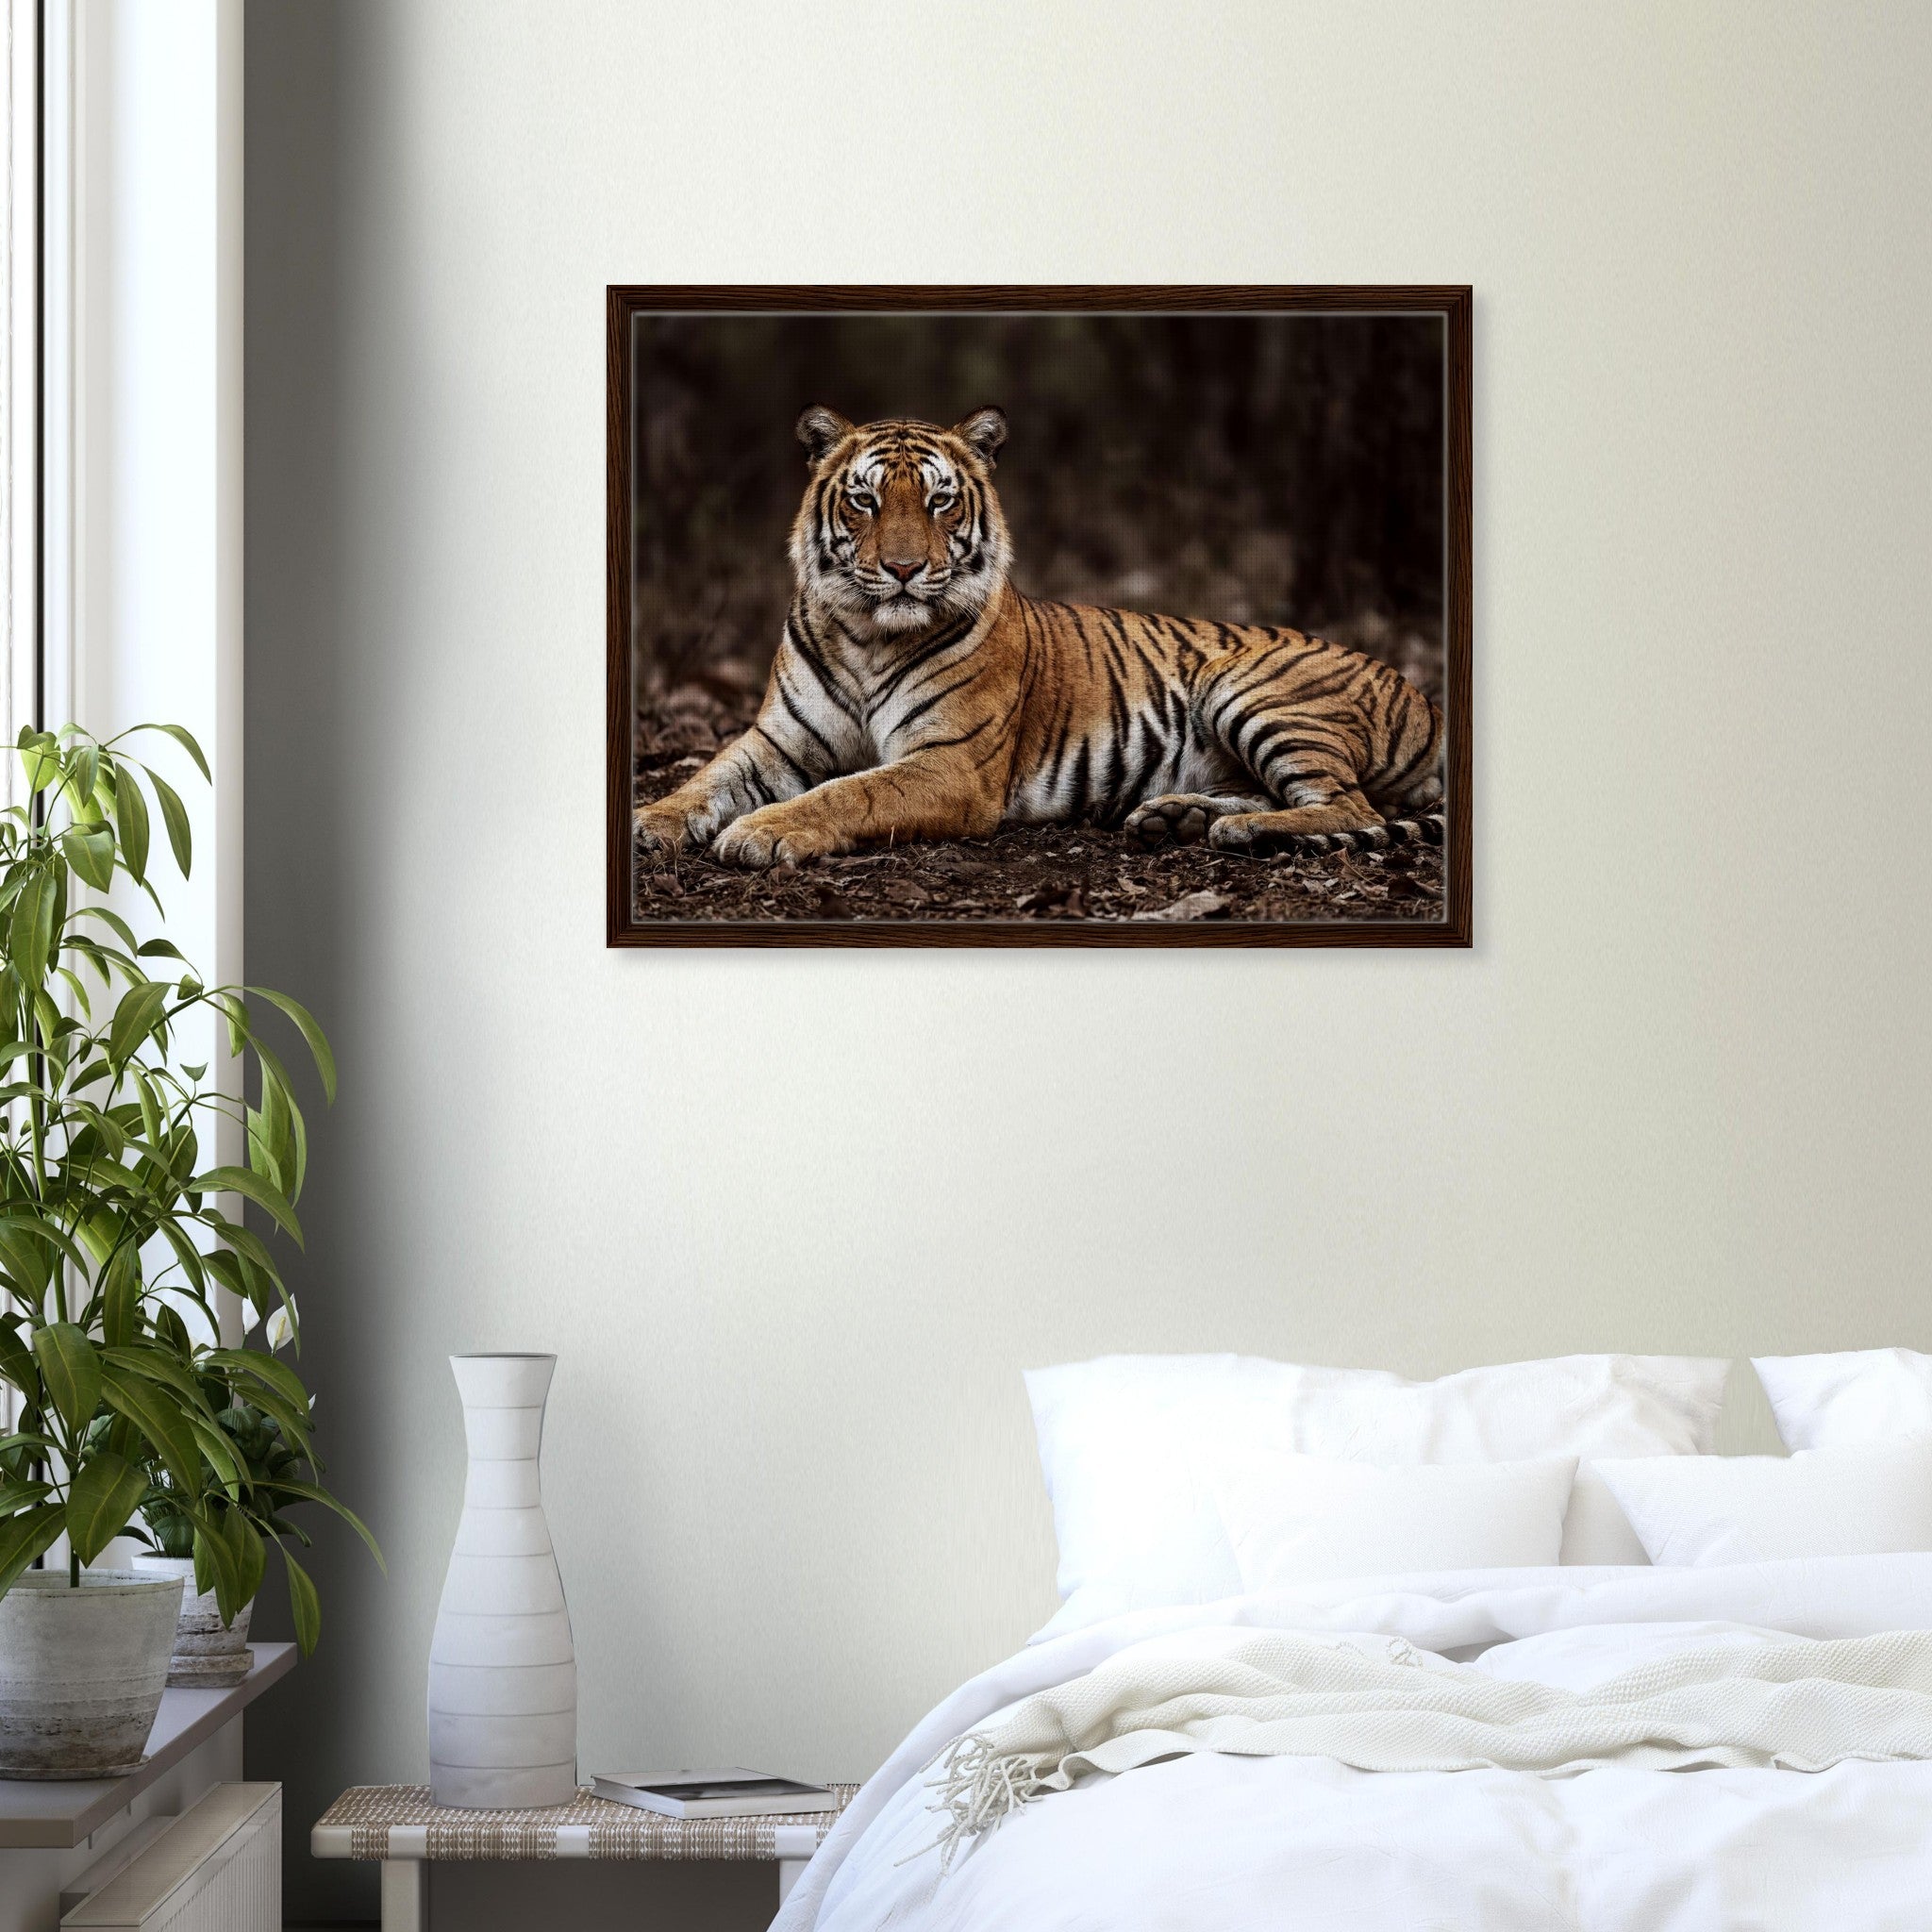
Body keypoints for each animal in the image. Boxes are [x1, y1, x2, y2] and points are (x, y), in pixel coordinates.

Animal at [632, 406, 1444, 871]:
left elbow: (849, 792)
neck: (866, 636)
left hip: (1248, 686)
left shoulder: (950, 764)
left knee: (1357, 812)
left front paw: (763, 832)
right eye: (865, 501)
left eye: (940, 501)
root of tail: (1425, 698)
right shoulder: (777, 740)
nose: (903, 570)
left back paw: (1237, 834)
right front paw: (650, 823)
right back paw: (1176, 817)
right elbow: (707, 777)